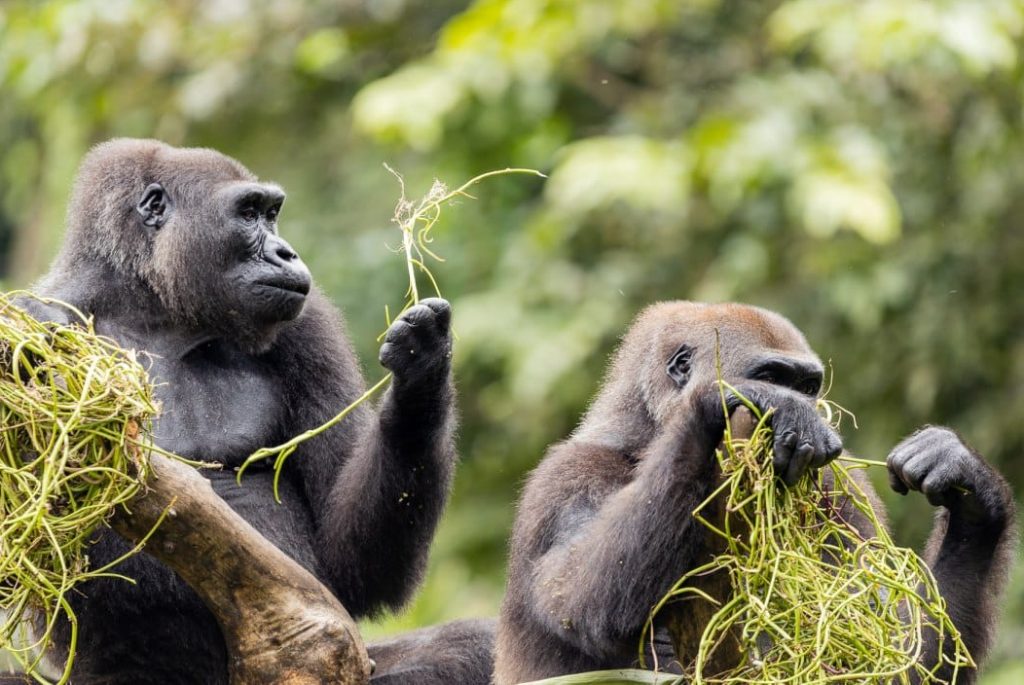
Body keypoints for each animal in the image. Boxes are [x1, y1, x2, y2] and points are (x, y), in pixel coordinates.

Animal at [10, 139, 493, 685]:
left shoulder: (310, 324)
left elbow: (351, 562)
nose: (287, 253)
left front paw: (422, 372)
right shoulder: (32, 319)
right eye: (248, 213)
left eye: (272, 213)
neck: (153, 308)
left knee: (472, 646)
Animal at [494, 301, 1016, 684]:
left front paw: (973, 500)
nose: (806, 408)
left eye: (808, 385)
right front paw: (719, 405)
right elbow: (578, 603)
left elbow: (892, 661)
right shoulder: (563, 482)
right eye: (770, 378)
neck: (642, 440)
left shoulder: (838, 486)